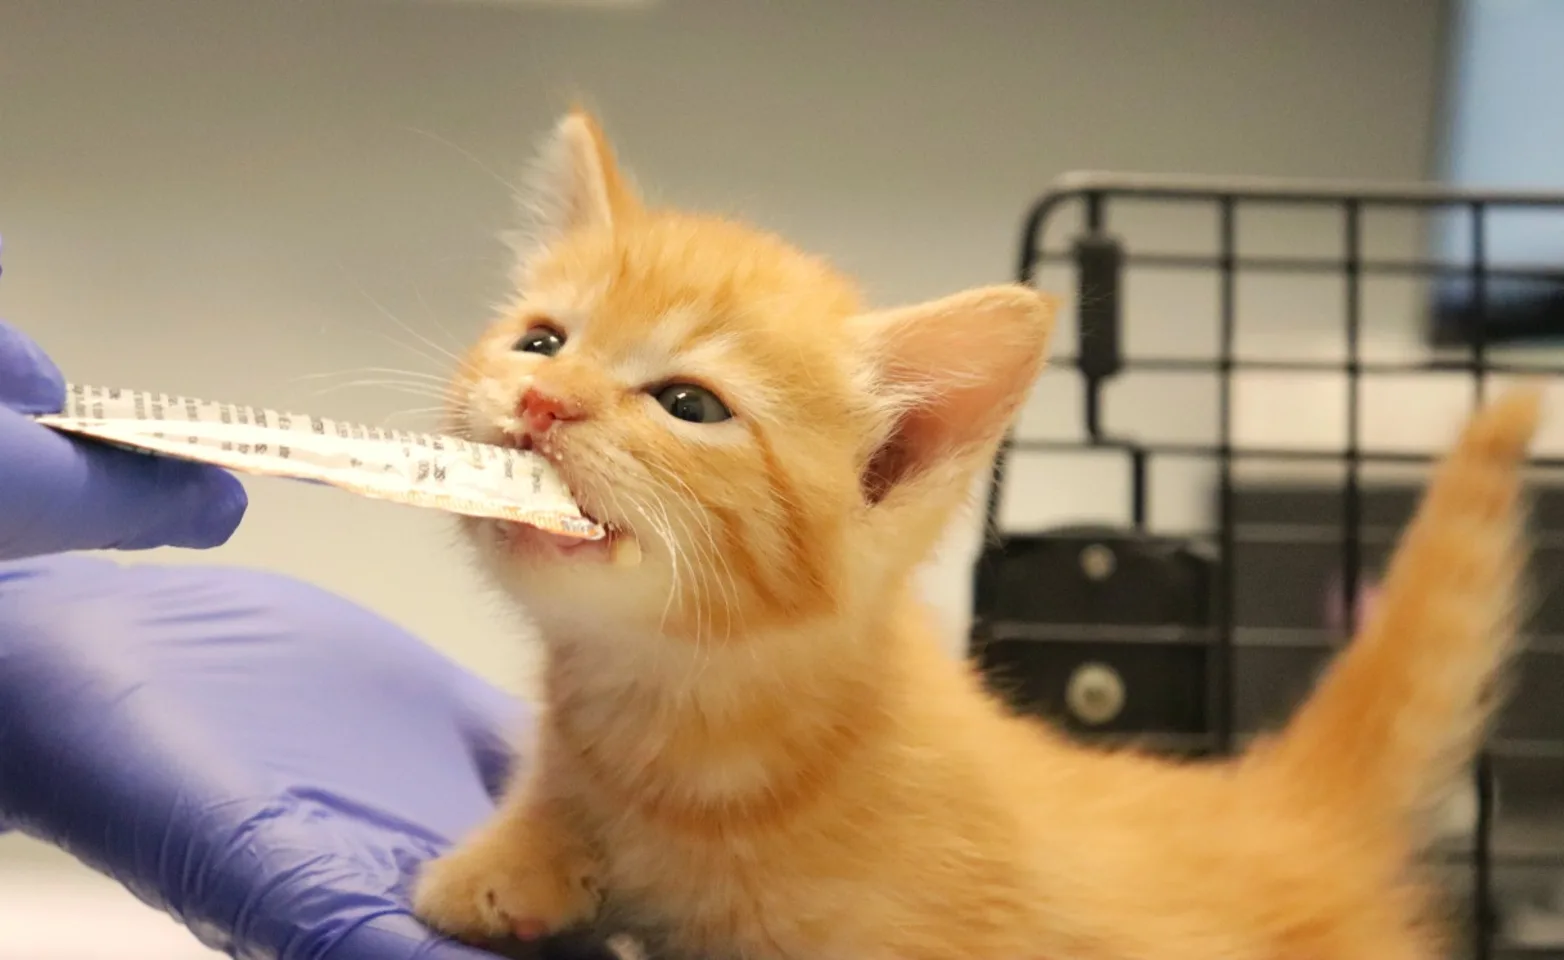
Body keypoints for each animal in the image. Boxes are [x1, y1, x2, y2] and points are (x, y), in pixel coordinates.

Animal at [412, 109, 1538, 960]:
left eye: (689, 404)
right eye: (543, 341)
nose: (543, 400)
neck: (684, 734)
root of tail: (1276, 802)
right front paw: (507, 866)